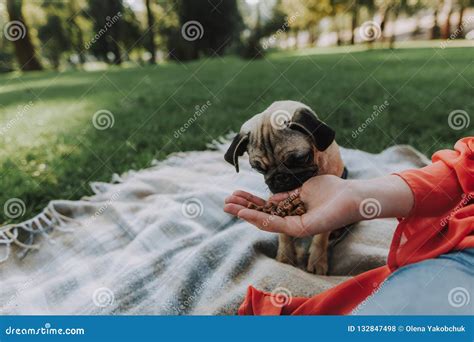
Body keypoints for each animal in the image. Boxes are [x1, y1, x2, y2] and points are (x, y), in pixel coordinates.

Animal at [224, 99, 346, 276]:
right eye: (259, 169)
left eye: (300, 159)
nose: (281, 177)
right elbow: (283, 235)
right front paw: (284, 257)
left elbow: (321, 237)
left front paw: (317, 261)